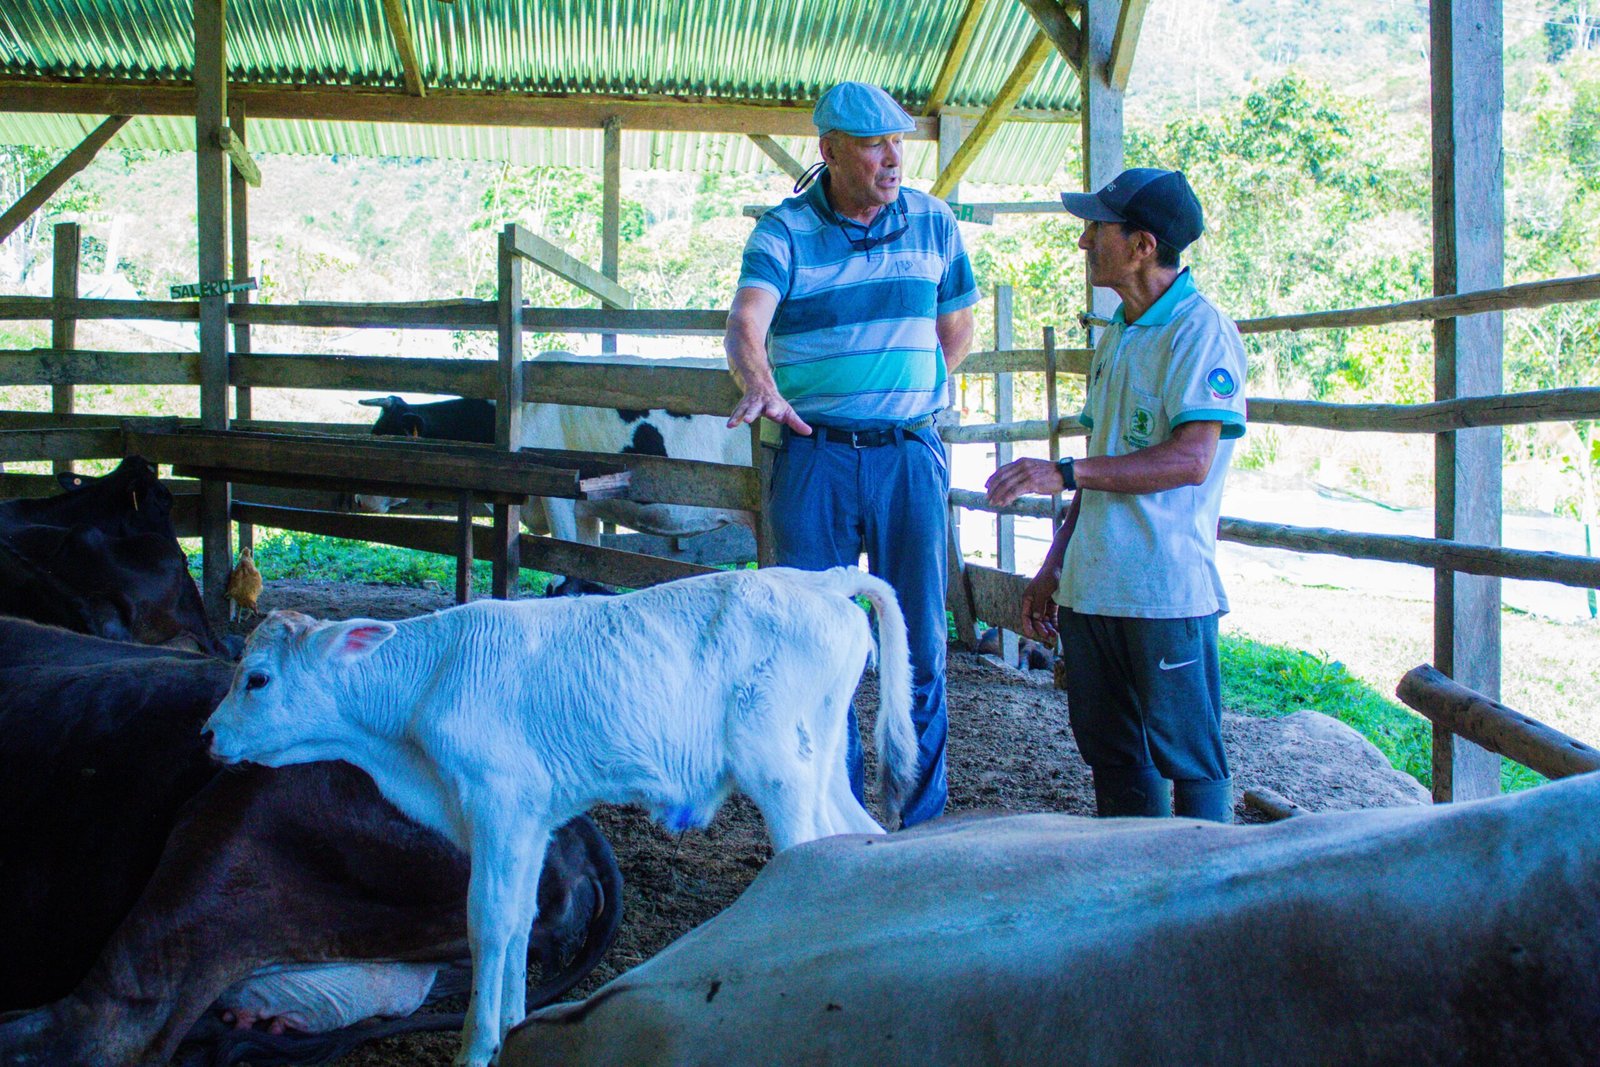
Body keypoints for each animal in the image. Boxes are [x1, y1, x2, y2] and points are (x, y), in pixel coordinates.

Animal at [203, 563, 915, 1062]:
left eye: (257, 678)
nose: (208, 735)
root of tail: (822, 579)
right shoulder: (532, 817)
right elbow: (521, 920)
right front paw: (514, 1027)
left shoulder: (498, 803)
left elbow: (489, 923)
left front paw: (476, 1046)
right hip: (822, 758)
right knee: (860, 837)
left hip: (776, 765)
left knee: (808, 853)